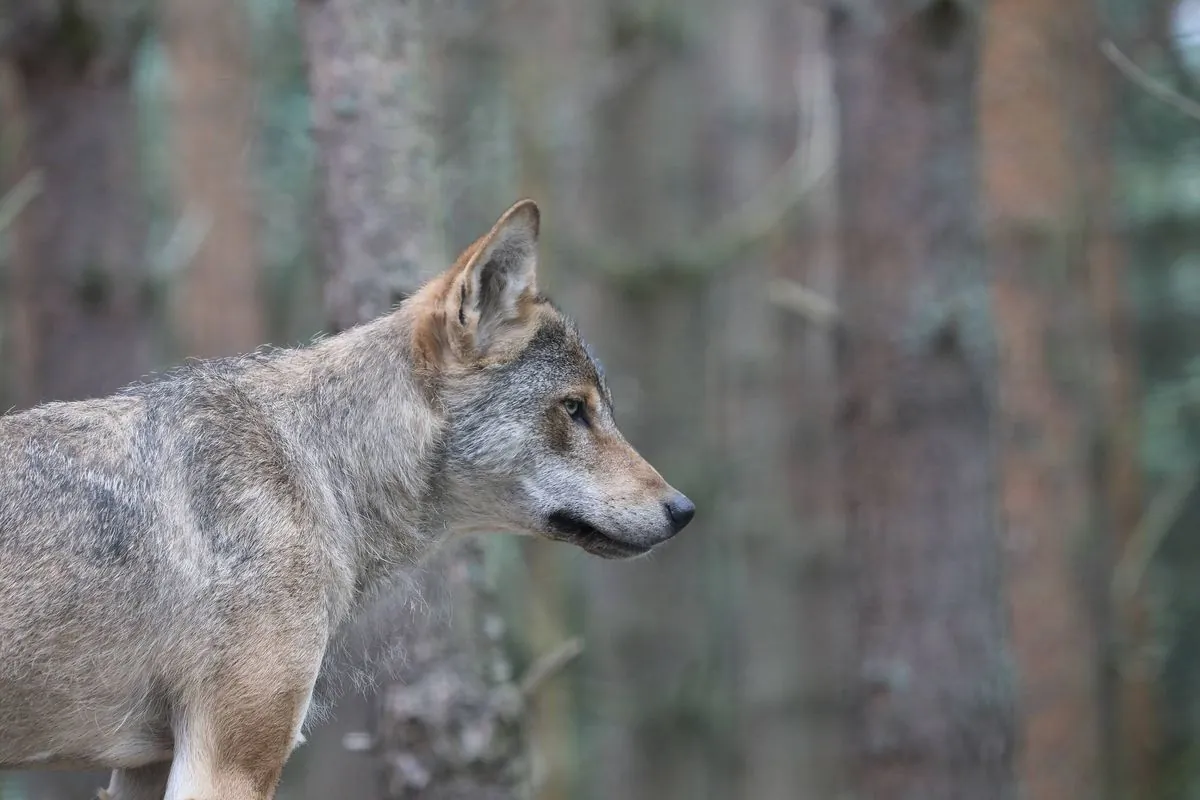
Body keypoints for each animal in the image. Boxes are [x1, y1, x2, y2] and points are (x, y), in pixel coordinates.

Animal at [0, 201, 696, 800]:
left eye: (601, 409)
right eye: (575, 409)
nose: (684, 510)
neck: (316, 470)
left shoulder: (153, 766)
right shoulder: (226, 765)